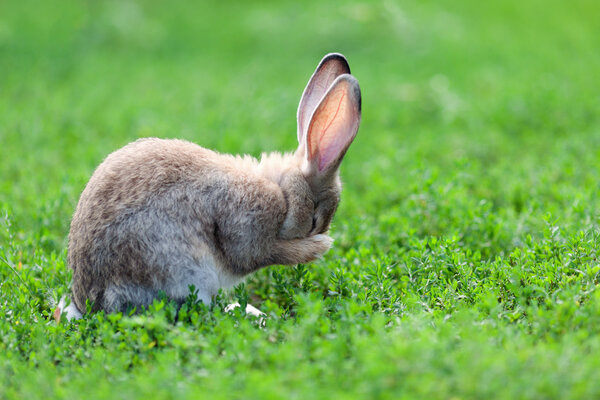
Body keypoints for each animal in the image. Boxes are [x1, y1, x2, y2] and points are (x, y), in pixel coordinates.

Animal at [61, 54, 360, 322]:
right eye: (313, 221)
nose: (318, 235)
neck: (281, 191)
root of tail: (90, 306)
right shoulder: (248, 224)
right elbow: (258, 253)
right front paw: (319, 247)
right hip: (182, 270)